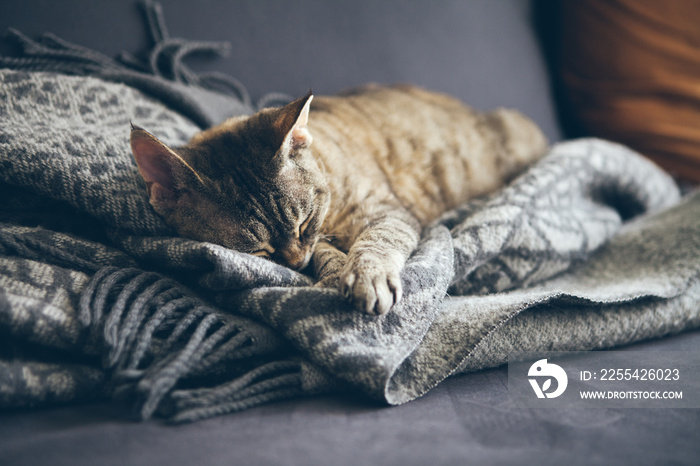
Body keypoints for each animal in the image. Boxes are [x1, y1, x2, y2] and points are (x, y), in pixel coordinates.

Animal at [130, 85, 548, 314]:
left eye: (303, 221)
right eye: (258, 251)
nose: (295, 263)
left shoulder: (385, 212)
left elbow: (375, 242)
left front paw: (366, 275)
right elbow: (328, 253)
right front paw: (335, 272)